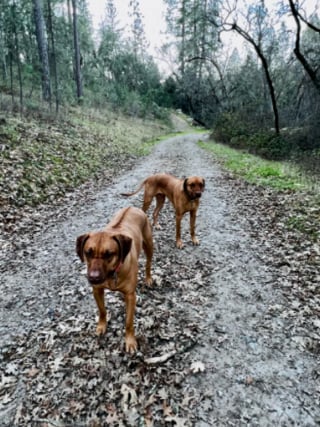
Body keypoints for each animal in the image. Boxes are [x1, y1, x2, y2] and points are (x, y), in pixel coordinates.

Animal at [76, 207, 154, 354]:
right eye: (88, 252)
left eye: (109, 254)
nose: (93, 277)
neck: (112, 274)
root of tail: (133, 207)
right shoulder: (97, 290)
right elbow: (102, 310)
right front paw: (101, 326)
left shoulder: (130, 295)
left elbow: (129, 322)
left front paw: (130, 341)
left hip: (148, 243)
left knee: (148, 262)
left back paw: (148, 278)